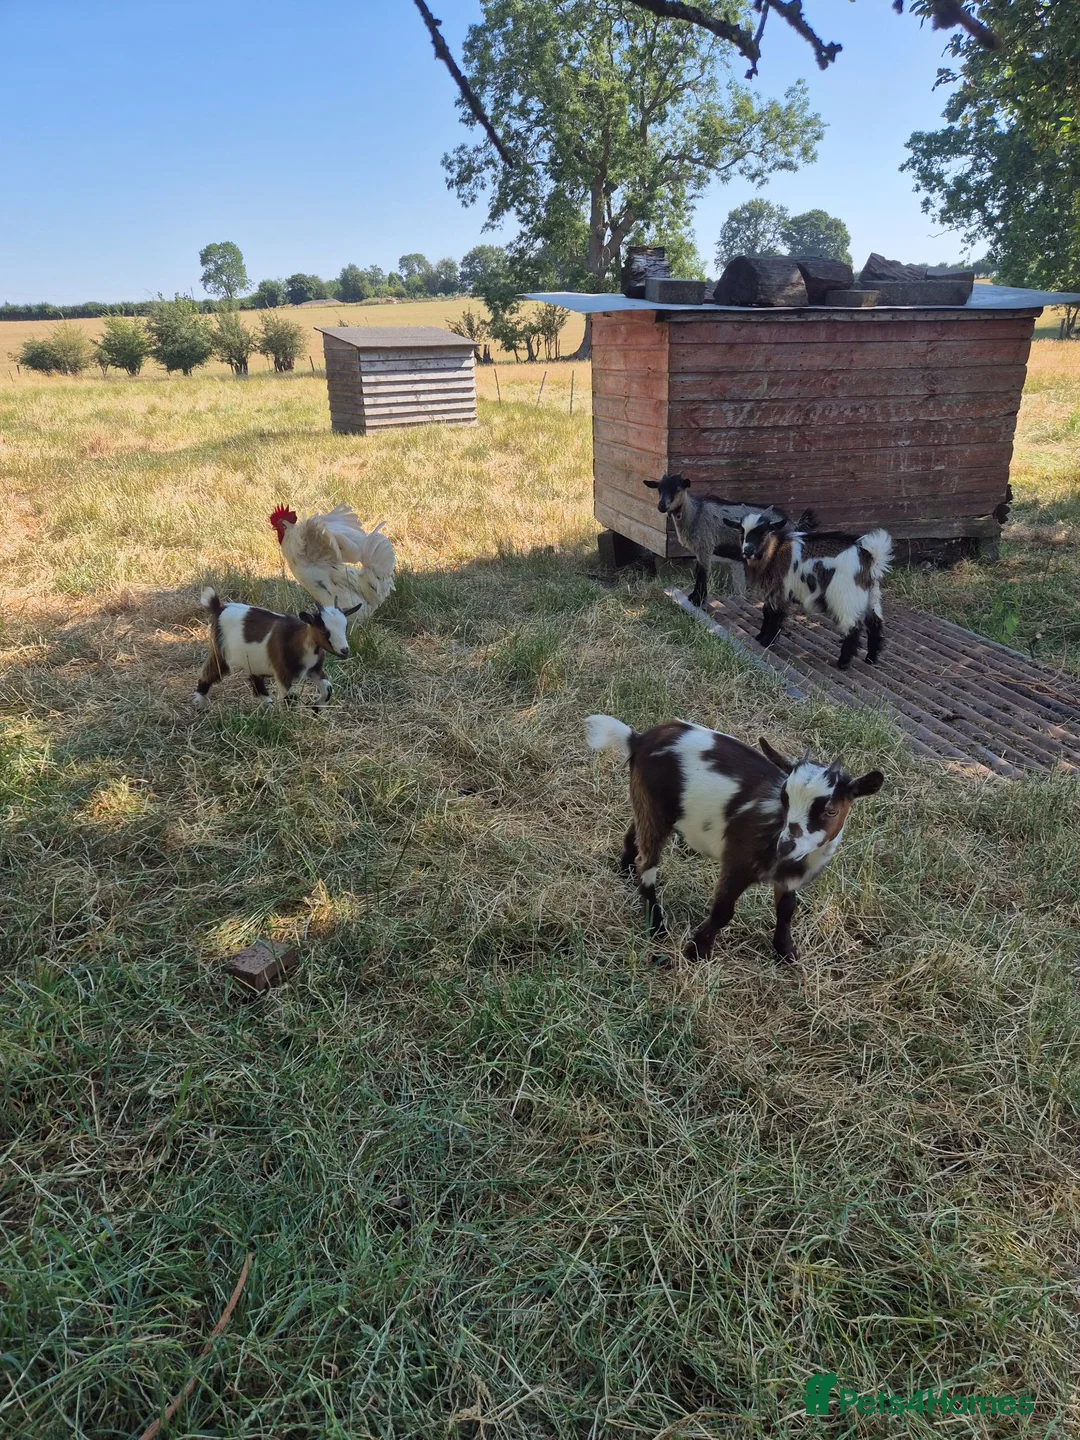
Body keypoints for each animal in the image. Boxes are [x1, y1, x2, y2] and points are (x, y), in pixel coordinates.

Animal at [193, 588, 354, 710]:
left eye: (345, 627)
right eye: (323, 630)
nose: (345, 650)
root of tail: (219, 608)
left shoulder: (314, 669)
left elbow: (328, 688)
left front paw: (315, 708)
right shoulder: (282, 672)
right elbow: (290, 698)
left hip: (251, 661)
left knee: (256, 681)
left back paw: (269, 707)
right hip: (221, 651)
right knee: (209, 672)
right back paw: (199, 705)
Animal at [586, 714, 883, 963]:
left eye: (831, 810)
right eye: (784, 797)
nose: (785, 845)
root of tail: (637, 738)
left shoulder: (788, 877)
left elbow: (787, 908)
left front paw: (786, 952)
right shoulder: (738, 860)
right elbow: (723, 910)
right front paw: (697, 951)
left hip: (651, 803)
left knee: (636, 832)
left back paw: (625, 869)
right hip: (654, 805)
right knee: (647, 864)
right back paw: (657, 926)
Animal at [643, 473, 749, 606]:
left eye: (678, 489)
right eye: (659, 489)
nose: (661, 506)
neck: (695, 514)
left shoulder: (706, 546)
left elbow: (702, 572)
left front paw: (699, 600)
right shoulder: (698, 550)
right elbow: (698, 570)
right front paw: (694, 596)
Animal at [726, 508, 893, 668]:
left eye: (762, 532)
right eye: (741, 531)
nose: (747, 551)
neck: (774, 550)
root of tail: (871, 557)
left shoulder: (780, 589)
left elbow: (774, 615)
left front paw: (766, 641)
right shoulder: (772, 590)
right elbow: (767, 612)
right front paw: (760, 636)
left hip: (846, 596)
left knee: (853, 627)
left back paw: (843, 663)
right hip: (871, 595)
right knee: (875, 624)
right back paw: (871, 658)